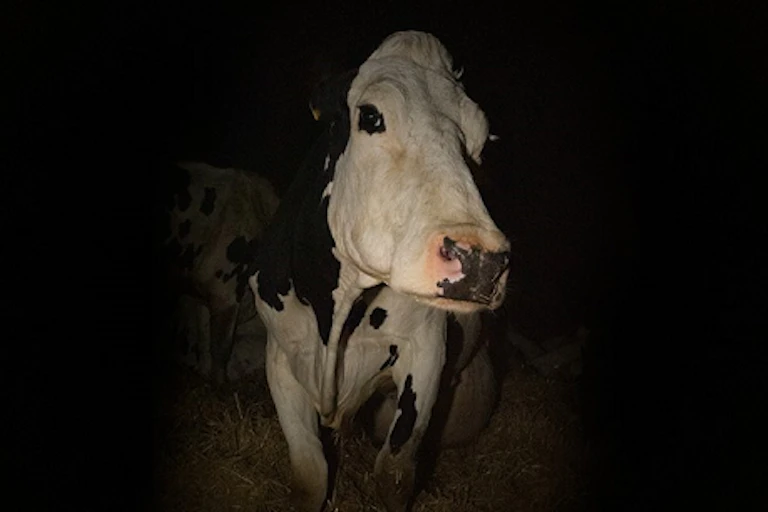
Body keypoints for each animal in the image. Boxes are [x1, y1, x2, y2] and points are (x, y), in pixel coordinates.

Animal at [160, 161, 279, 383]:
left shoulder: (200, 293)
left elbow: (204, 337)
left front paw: (204, 375)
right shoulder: (226, 288)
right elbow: (220, 348)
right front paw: (219, 383)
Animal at [249, 31, 510, 511]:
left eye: (481, 140)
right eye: (370, 116)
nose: (482, 261)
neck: (335, 313)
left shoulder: (425, 350)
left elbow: (394, 470)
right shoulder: (279, 355)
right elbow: (310, 473)